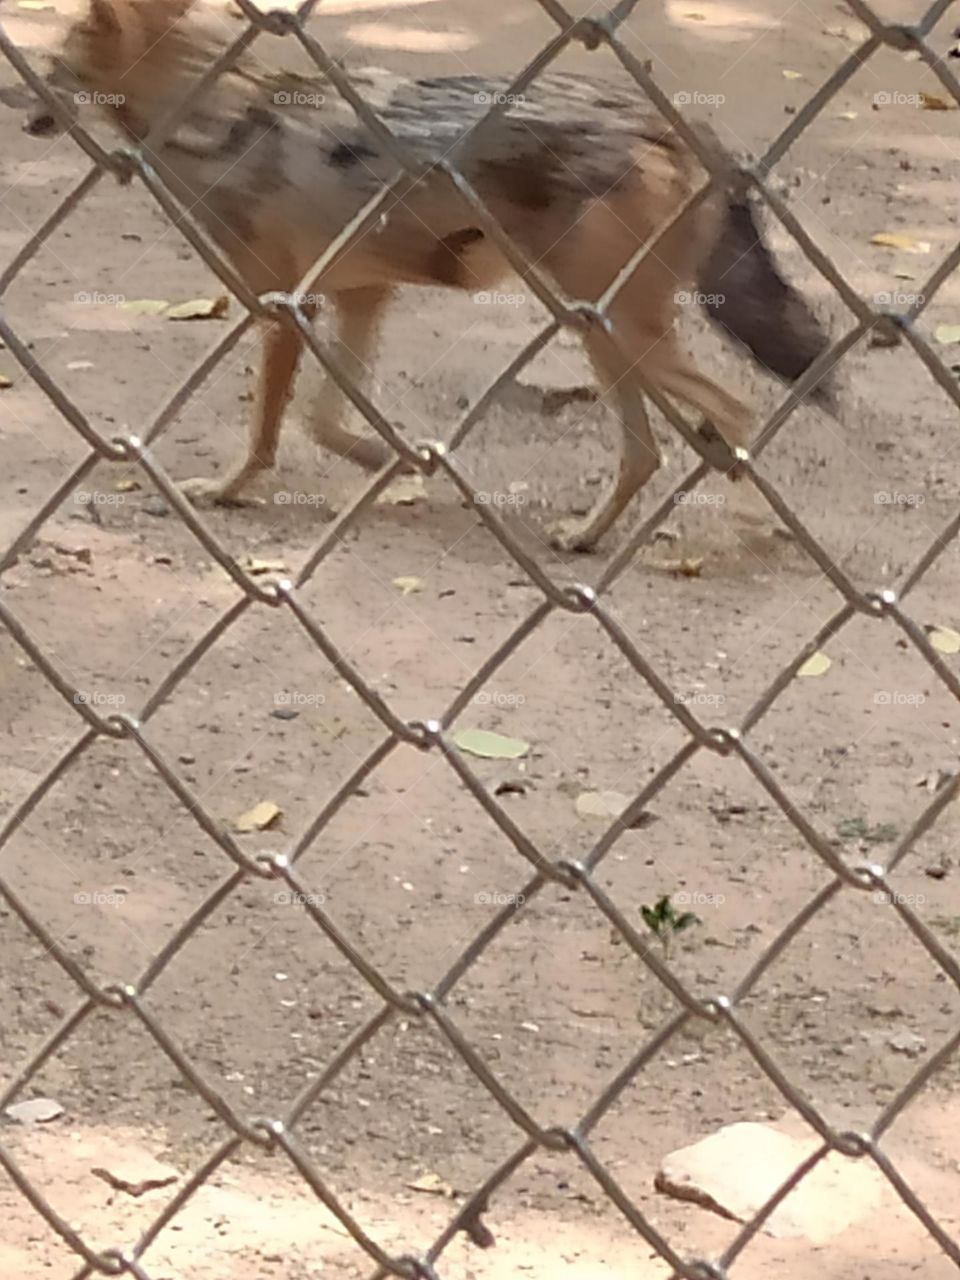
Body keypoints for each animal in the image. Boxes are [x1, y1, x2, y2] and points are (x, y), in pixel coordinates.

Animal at [22, 0, 831, 551]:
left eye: (52, 64)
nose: (13, 94)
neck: (227, 115)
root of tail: (669, 124)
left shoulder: (283, 310)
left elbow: (270, 431)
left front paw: (226, 490)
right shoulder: (361, 296)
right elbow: (323, 419)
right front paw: (389, 460)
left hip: (617, 334)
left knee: (735, 415)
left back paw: (742, 527)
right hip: (604, 337)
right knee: (650, 452)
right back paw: (584, 537)